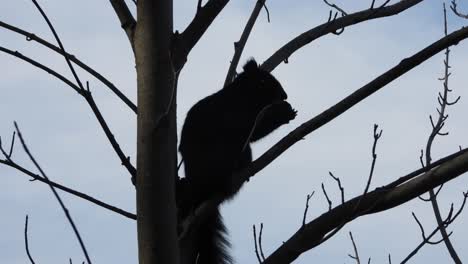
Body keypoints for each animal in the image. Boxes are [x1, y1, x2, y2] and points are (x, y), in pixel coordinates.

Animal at [177, 59, 294, 264]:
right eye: (264, 81)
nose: (284, 95)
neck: (242, 94)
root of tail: (201, 190)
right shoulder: (237, 115)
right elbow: (255, 131)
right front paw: (283, 113)